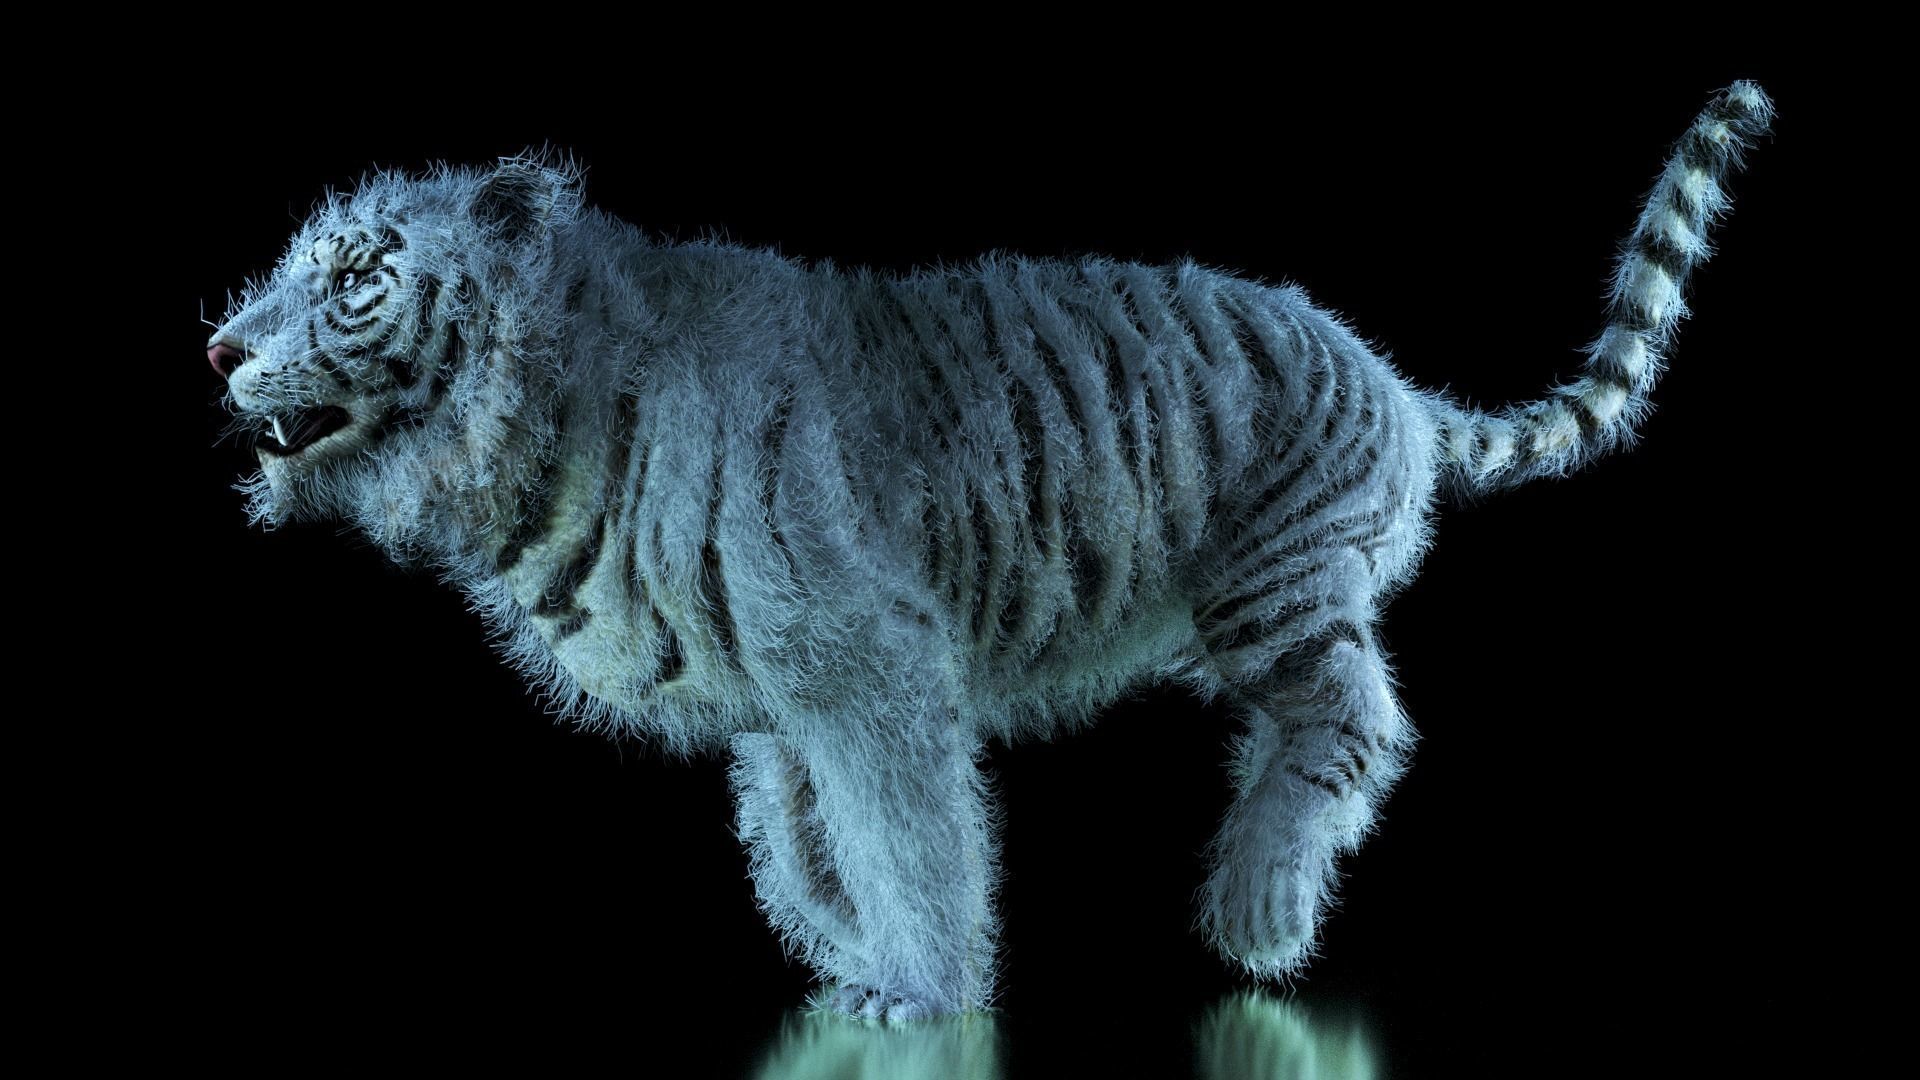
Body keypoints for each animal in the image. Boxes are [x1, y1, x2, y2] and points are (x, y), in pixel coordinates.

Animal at [205, 82, 1772, 1021]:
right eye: (288, 263)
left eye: (356, 277)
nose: (218, 346)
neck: (542, 427)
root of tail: (1386, 372)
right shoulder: (783, 704)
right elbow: (800, 850)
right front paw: (845, 963)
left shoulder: (871, 670)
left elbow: (909, 836)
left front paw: (921, 992)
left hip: (1279, 588)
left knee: (1355, 719)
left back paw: (1258, 910)